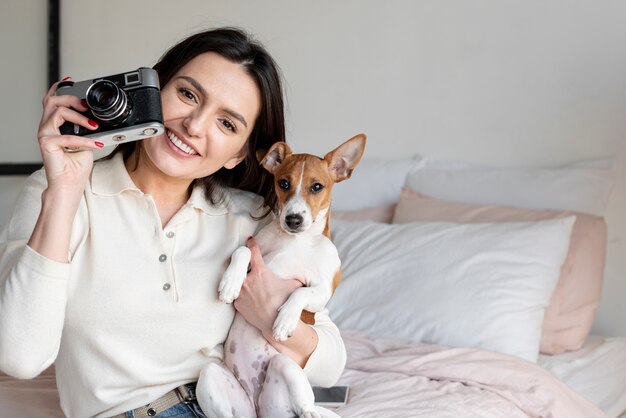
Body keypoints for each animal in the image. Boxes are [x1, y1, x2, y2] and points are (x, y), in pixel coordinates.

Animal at [197, 136, 366, 416]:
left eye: (317, 187)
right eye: (283, 183)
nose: (293, 219)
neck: (296, 241)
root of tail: (259, 410)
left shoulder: (323, 291)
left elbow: (301, 291)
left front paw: (285, 320)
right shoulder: (255, 249)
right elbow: (242, 251)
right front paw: (230, 284)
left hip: (284, 366)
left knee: (307, 407)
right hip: (211, 376)